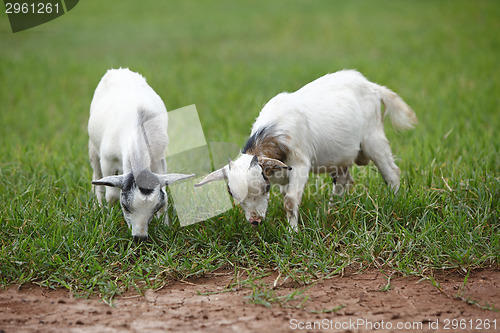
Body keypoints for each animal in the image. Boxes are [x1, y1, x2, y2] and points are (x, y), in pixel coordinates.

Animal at [88, 67, 193, 240]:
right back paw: (99, 207)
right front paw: (109, 221)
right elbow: (112, 195)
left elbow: (165, 195)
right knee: (97, 178)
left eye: (155, 208)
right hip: (93, 148)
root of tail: (118, 70)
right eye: (125, 207)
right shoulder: (108, 161)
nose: (140, 237)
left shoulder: (158, 159)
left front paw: (166, 227)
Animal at [195, 69, 418, 231]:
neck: (275, 133)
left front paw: (292, 233)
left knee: (391, 172)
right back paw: (330, 211)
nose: (255, 221)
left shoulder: (300, 163)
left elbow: (290, 200)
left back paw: (394, 201)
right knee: (344, 180)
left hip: (373, 138)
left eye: (265, 187)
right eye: (232, 194)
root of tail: (373, 87)